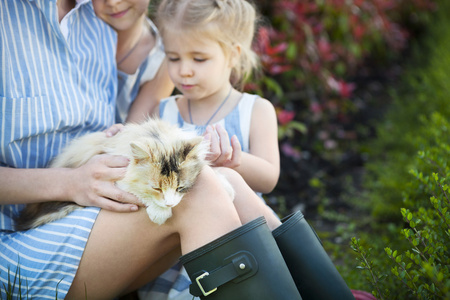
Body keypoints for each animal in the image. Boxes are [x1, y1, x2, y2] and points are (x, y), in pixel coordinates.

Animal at [15, 117, 234, 230]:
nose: (170, 204)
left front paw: (227, 187)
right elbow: (136, 191)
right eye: (156, 188)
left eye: (180, 187)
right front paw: (160, 214)